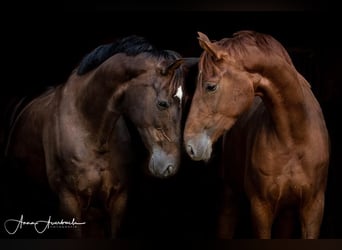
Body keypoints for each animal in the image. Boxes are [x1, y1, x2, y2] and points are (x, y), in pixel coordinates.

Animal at [4, 34, 198, 237]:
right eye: (162, 103)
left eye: (185, 101)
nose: (170, 167)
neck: (90, 128)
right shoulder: (69, 202)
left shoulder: (118, 200)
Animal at [184, 30, 332, 238]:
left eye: (210, 86)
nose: (190, 145)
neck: (294, 138)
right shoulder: (261, 208)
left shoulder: (314, 208)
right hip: (229, 194)